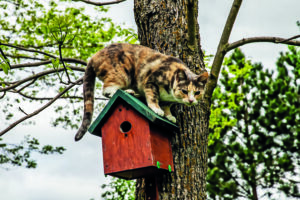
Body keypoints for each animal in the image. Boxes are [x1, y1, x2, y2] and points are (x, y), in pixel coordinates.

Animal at [74, 43, 209, 141]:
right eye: (184, 90)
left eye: (197, 93)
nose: (191, 100)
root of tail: (93, 57)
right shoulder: (150, 81)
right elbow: (153, 96)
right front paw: (157, 109)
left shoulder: (169, 100)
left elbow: (167, 105)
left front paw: (169, 115)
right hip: (122, 73)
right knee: (107, 89)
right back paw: (127, 92)